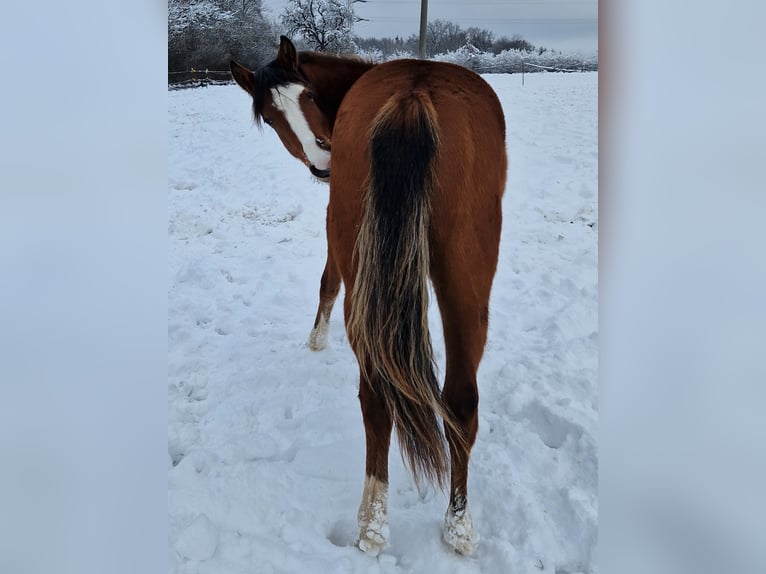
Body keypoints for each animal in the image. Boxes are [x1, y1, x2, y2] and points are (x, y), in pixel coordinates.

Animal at [230, 36, 507, 557]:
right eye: (272, 119)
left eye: (309, 96)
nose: (322, 162)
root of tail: (413, 96)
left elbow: (326, 280)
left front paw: (315, 339)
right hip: (461, 282)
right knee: (444, 400)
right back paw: (434, 523)